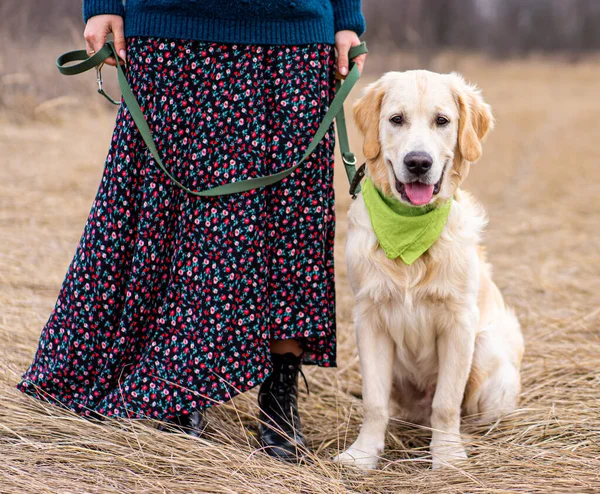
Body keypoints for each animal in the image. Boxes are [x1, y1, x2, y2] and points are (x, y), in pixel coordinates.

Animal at [336, 71, 524, 468]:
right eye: (396, 119)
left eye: (442, 121)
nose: (418, 162)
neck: (408, 230)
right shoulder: (369, 319)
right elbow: (374, 402)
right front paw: (363, 455)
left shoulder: (459, 322)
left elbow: (446, 403)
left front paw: (448, 455)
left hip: (487, 350)